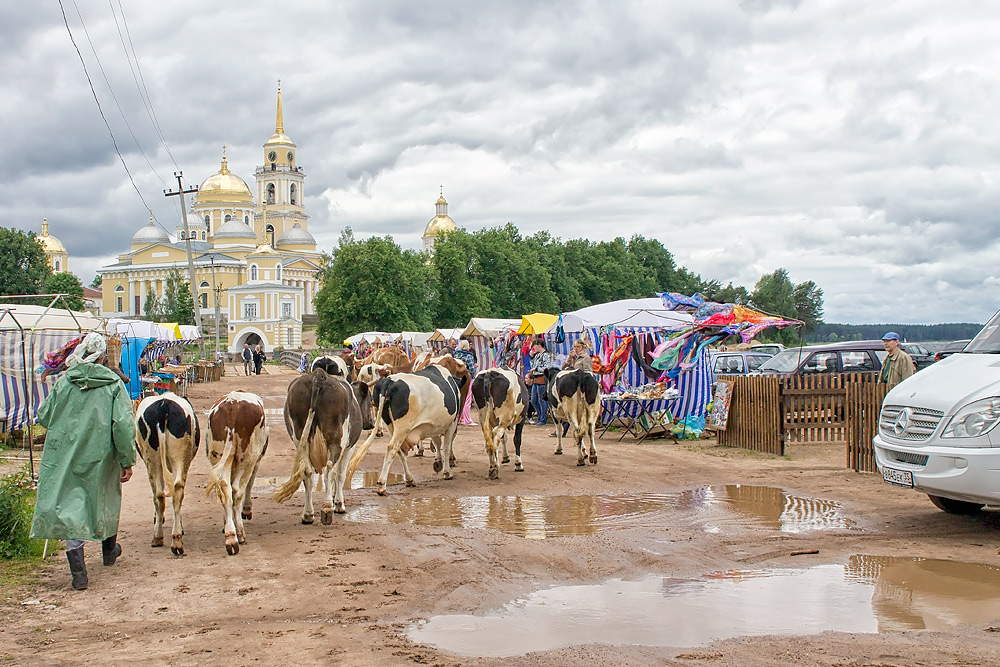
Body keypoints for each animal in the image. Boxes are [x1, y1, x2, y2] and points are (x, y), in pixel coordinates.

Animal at [135, 394, 201, 556]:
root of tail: (163, 404)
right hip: (174, 457)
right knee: (171, 491)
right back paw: (171, 538)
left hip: (156, 459)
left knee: (163, 493)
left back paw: (165, 537)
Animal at [204, 392, 270, 560]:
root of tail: (232, 404)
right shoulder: (256, 460)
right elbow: (250, 484)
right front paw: (246, 510)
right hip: (247, 457)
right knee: (236, 490)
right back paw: (239, 534)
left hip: (219, 454)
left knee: (225, 489)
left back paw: (230, 536)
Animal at [274, 368, 376, 524]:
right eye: (370, 400)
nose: (372, 422)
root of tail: (319, 375)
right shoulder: (349, 447)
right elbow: (339, 474)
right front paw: (338, 503)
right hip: (336, 440)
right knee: (329, 469)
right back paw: (327, 508)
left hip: (300, 440)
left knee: (308, 472)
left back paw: (308, 514)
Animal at [346, 366, 462, 496]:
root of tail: (388, 381)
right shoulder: (452, 423)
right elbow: (446, 447)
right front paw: (447, 472)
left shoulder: (434, 424)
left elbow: (437, 442)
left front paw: (438, 463)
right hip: (403, 427)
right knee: (392, 448)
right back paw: (382, 485)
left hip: (391, 426)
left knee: (399, 450)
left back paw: (409, 479)